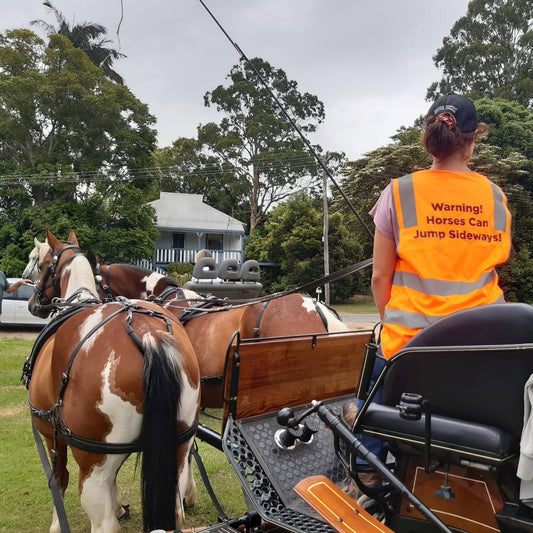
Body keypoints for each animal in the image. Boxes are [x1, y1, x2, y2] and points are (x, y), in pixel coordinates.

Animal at [24, 231, 200, 532]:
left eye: (39, 261)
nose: (32, 303)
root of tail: (148, 334)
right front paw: (120, 506)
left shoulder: (51, 434)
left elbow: (58, 479)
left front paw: (57, 524)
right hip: (178, 447)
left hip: (93, 465)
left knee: (103, 520)